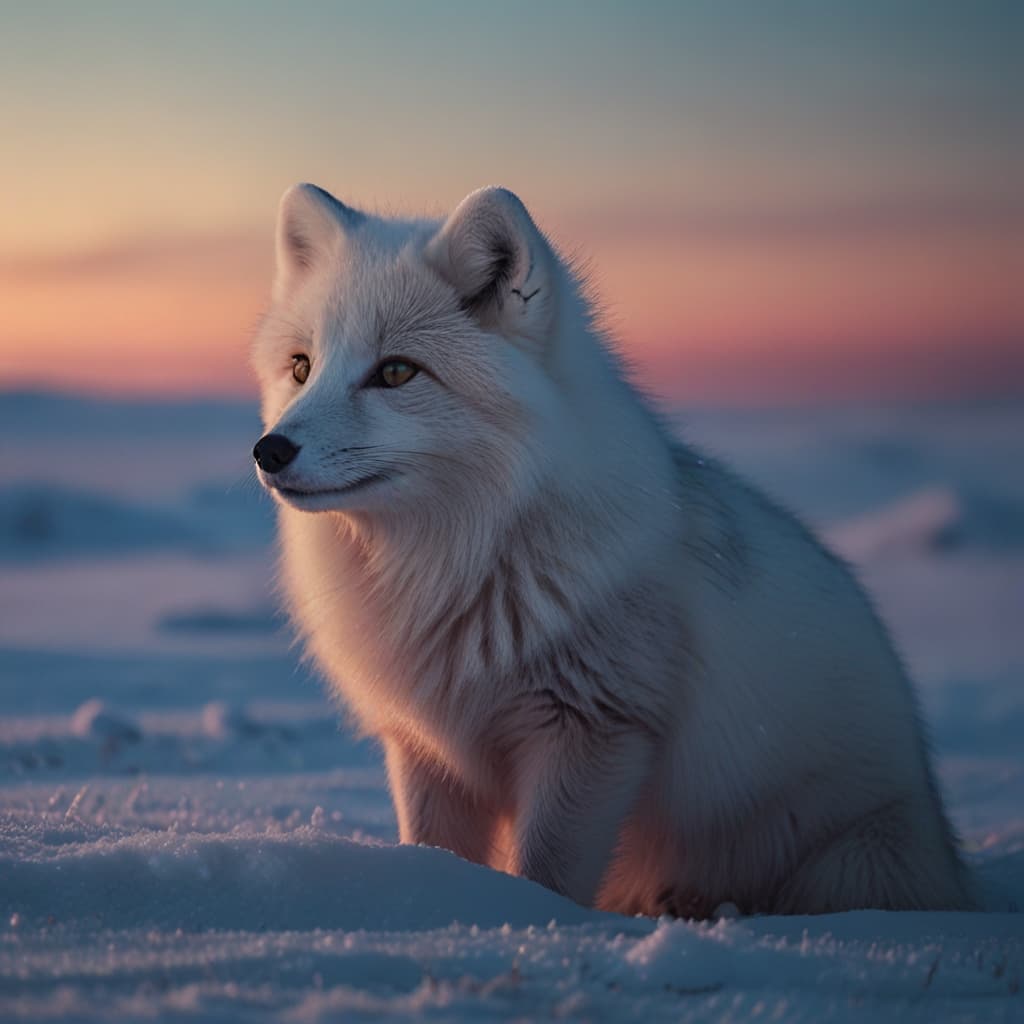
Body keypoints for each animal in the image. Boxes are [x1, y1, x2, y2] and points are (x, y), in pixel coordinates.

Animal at [251, 182, 973, 917]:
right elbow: (436, 848)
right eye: (302, 367)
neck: (453, 570)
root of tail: (950, 865)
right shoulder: (427, 747)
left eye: (396, 372)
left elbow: (546, 870)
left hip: (848, 866)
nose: (269, 450)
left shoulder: (594, 727)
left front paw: (536, 922)